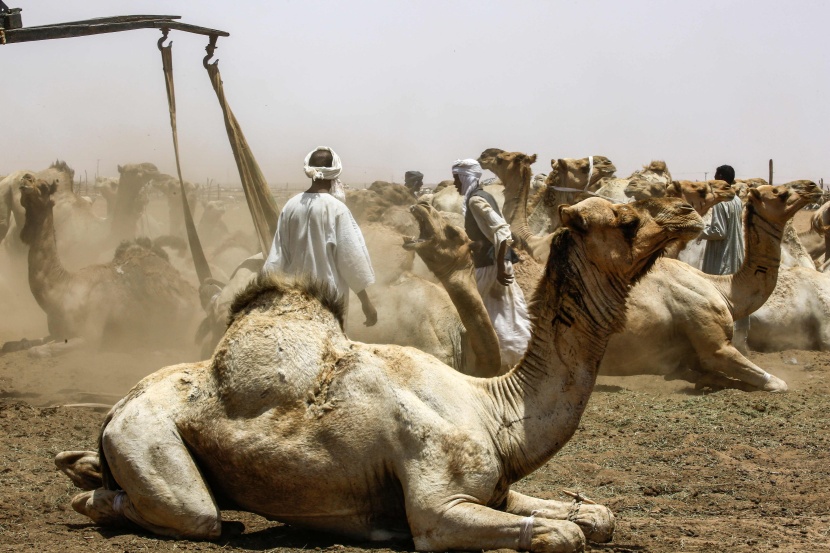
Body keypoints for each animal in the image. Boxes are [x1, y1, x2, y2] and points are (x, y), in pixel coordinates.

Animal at [16, 177, 200, 356]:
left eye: (43, 186)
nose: (25, 179)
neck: (64, 290)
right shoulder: (55, 333)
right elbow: (30, 343)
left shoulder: (90, 337)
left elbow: (38, 350)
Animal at [55, 193, 704, 548]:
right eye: (625, 220)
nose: (688, 214)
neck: (495, 409)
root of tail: (119, 404)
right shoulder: (438, 505)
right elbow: (561, 533)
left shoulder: (497, 487)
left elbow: (596, 517)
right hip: (148, 437)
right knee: (193, 514)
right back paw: (96, 499)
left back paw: (82, 469)